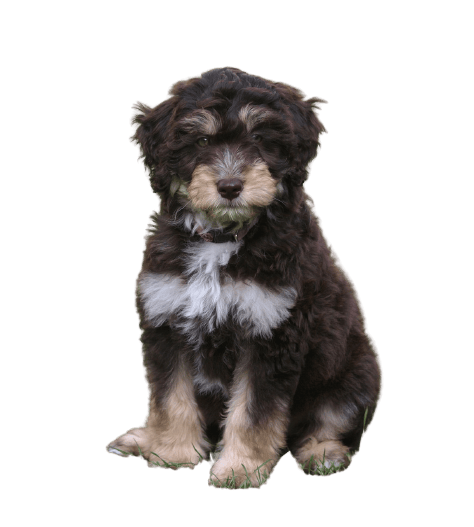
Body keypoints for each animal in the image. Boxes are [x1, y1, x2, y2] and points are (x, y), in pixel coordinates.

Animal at [105, 67, 384, 490]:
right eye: (202, 141)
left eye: (258, 138)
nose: (230, 187)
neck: (222, 238)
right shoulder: (166, 320)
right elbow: (171, 397)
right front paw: (172, 453)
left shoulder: (271, 332)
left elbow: (254, 411)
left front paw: (239, 469)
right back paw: (141, 438)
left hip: (356, 372)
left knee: (329, 419)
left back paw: (323, 453)